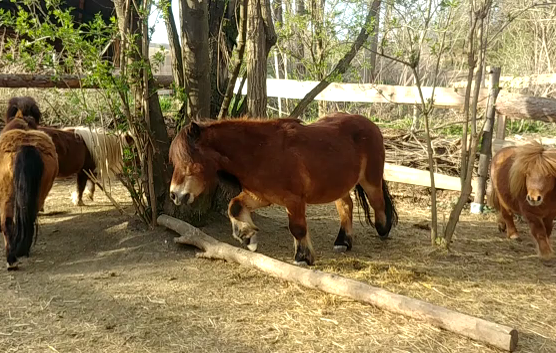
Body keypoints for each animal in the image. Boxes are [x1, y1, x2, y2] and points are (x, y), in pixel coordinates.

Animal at [167, 112, 398, 264]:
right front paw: (247, 236)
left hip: (370, 181)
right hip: (337, 185)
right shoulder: (260, 196)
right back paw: (343, 241)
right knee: (346, 206)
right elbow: (234, 207)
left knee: (378, 204)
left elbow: (297, 228)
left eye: (188, 162)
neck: (261, 152)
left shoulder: (294, 200)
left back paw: (383, 228)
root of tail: (371, 125)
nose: (174, 195)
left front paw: (303, 257)